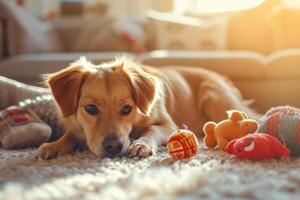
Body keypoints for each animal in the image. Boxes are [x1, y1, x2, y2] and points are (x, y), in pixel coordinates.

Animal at [37, 56, 258, 159]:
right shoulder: (78, 127)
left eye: (127, 109)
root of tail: (222, 77)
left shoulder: (169, 125)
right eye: (90, 109)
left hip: (213, 97)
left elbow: (152, 130)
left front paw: (142, 144)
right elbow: (70, 135)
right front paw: (53, 145)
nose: (113, 147)